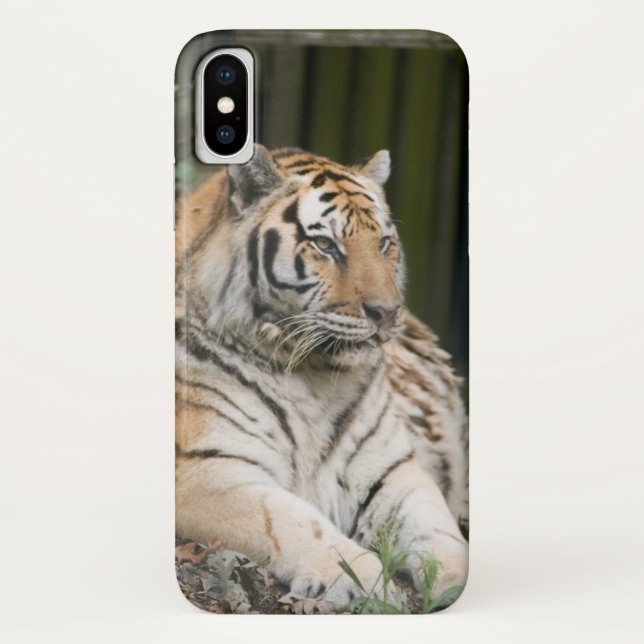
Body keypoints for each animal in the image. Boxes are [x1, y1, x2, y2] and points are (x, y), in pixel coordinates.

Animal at [175, 144, 468, 610]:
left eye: (383, 243)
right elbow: (287, 520)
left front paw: (456, 579)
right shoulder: (207, 468)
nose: (388, 313)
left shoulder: (394, 471)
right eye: (326, 245)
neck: (314, 375)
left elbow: (441, 531)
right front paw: (366, 579)